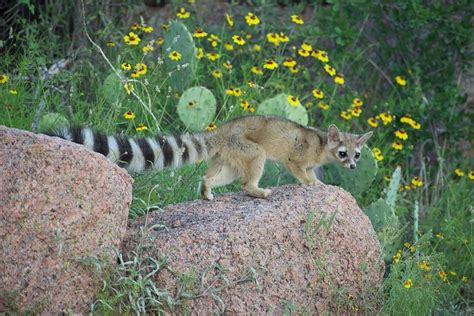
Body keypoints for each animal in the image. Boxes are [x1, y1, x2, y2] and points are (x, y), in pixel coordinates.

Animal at [47, 115, 374, 200]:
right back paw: (255, 189)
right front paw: (312, 184)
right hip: (247, 147)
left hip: (231, 157)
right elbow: (299, 169)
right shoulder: (299, 155)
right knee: (251, 171)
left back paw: (207, 187)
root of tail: (221, 131)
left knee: (222, 175)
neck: (322, 143)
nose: (353, 166)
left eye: (357, 154)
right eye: (343, 153)